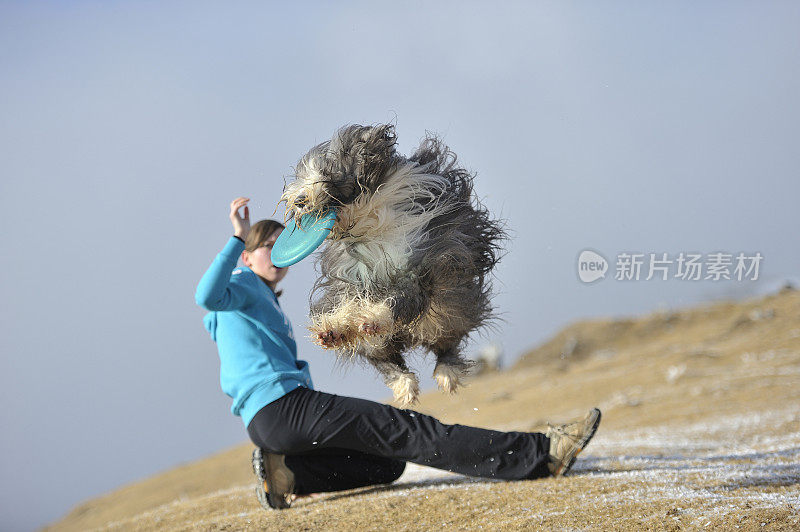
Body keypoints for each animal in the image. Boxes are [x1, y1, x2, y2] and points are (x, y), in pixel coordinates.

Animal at [282, 124, 504, 406]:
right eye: (302, 177)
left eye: (326, 172)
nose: (299, 200)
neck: (368, 223)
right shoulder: (351, 275)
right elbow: (348, 300)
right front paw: (334, 325)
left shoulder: (420, 264)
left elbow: (399, 298)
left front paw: (374, 317)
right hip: (389, 340)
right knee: (384, 357)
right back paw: (397, 379)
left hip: (450, 309)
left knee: (446, 341)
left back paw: (446, 373)